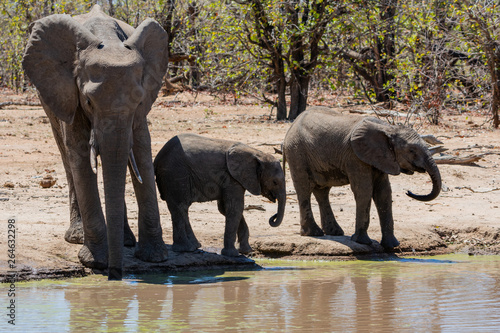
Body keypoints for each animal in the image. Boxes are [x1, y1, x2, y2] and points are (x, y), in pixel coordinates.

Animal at [22, 5, 168, 280]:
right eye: (89, 102)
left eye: (138, 101)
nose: (115, 275)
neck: (108, 41)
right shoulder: (69, 89)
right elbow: (79, 155)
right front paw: (96, 262)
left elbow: (141, 151)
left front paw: (155, 258)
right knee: (67, 158)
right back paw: (78, 237)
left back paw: (125, 241)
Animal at [153, 134, 286, 255]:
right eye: (275, 182)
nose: (273, 217)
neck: (257, 154)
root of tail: (157, 157)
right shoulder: (232, 178)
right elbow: (235, 208)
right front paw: (232, 254)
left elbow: (225, 209)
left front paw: (246, 251)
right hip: (175, 173)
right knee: (180, 206)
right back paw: (187, 249)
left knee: (180, 208)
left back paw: (195, 246)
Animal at [282, 109, 442, 249]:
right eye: (411, 150)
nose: (408, 192)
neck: (388, 128)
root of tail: (291, 127)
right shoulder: (355, 157)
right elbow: (364, 190)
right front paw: (362, 242)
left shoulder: (380, 158)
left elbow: (383, 193)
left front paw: (392, 246)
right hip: (296, 152)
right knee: (304, 188)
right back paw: (313, 233)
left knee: (322, 191)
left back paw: (334, 232)